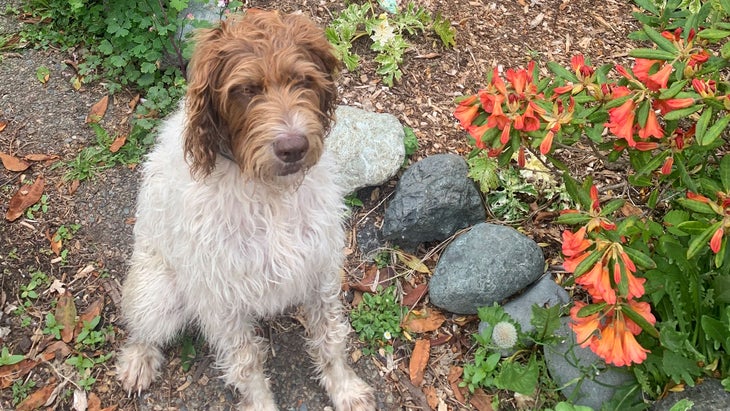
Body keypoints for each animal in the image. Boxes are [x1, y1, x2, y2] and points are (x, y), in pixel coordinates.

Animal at [115, 10, 376, 411]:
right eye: (247, 89)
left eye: (303, 80)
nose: (293, 148)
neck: (270, 193)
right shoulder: (221, 300)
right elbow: (246, 363)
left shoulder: (319, 270)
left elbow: (330, 335)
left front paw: (344, 388)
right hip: (159, 293)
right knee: (144, 329)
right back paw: (138, 359)